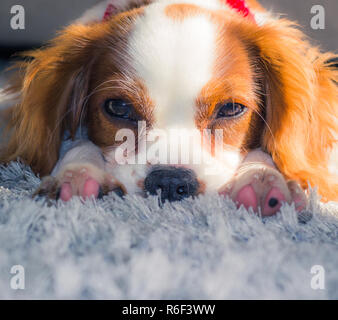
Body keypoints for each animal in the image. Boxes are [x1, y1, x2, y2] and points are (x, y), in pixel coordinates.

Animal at [0, 0, 338, 216]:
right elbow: (77, 141)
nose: (171, 182)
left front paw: (262, 178)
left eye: (230, 109)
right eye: (118, 107)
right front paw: (77, 173)